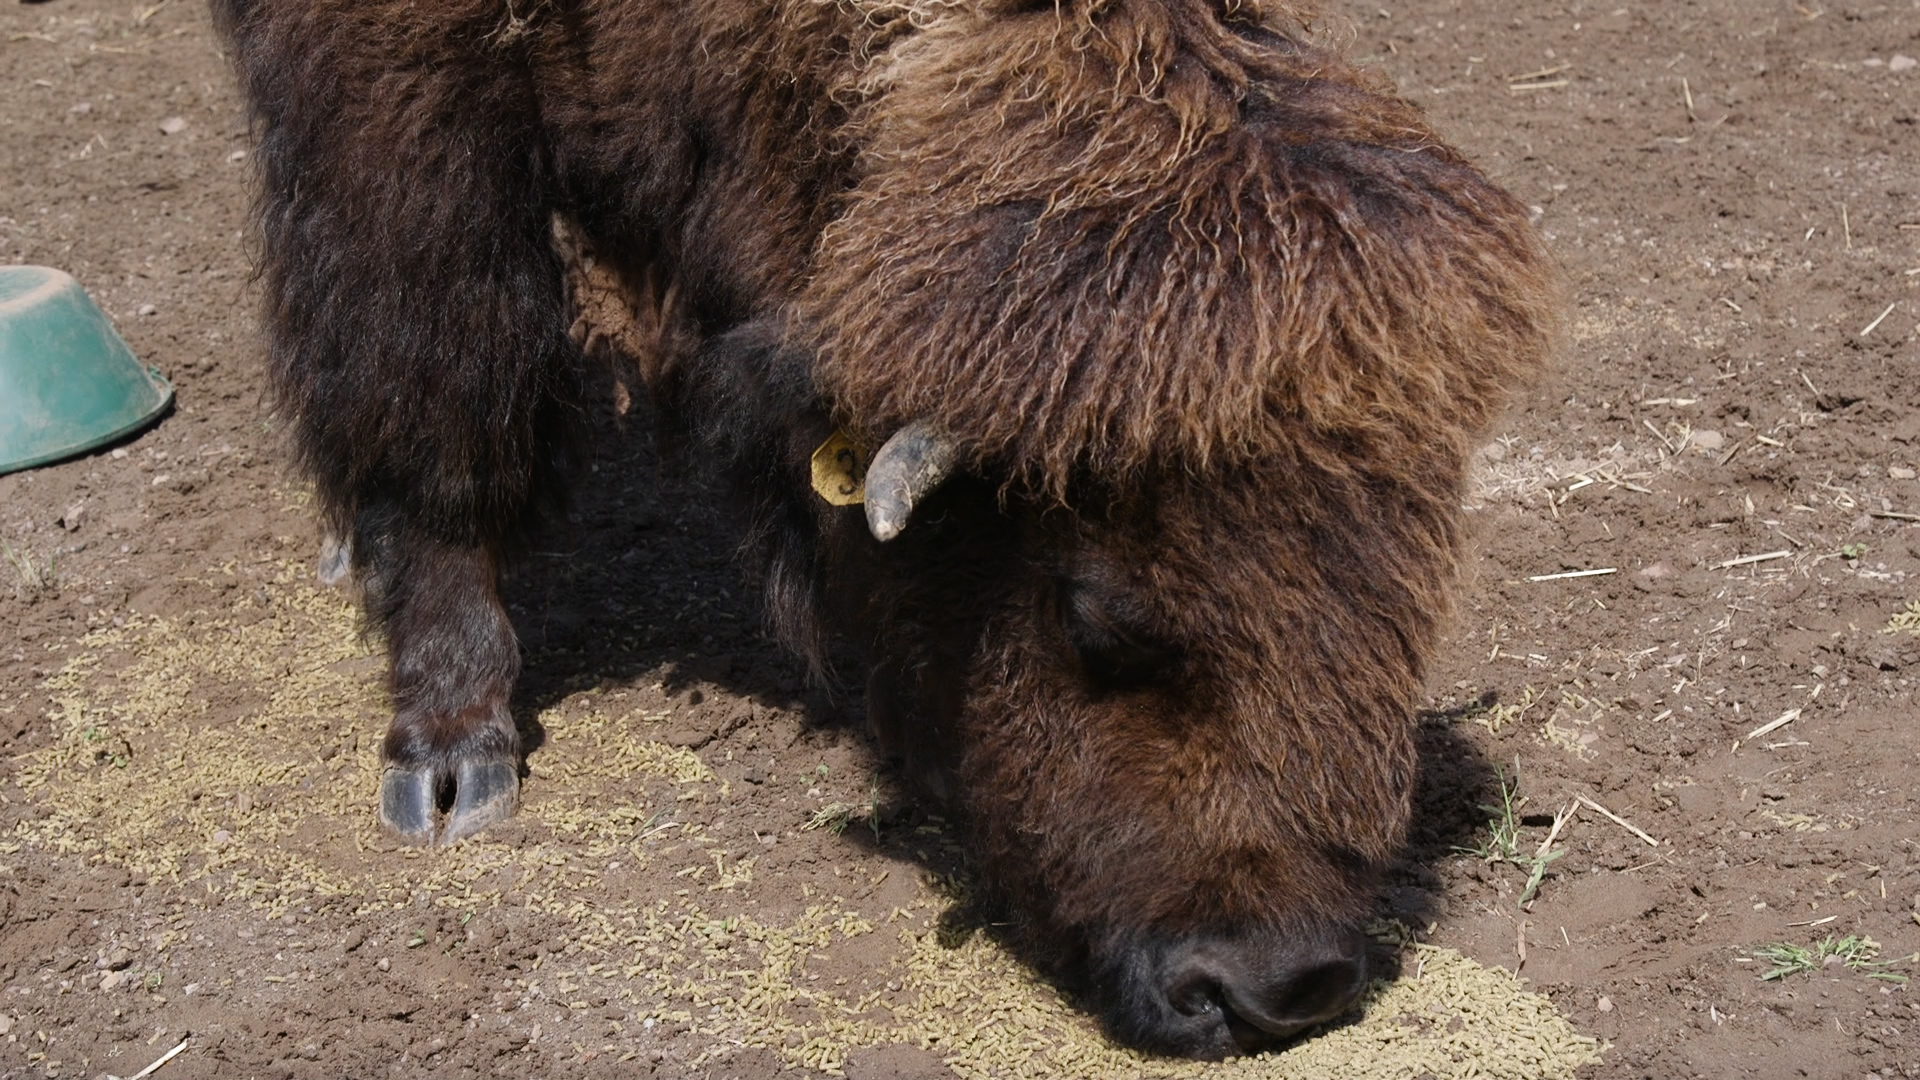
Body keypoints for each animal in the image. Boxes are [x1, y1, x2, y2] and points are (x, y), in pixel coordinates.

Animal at [212, 0, 1556, 1058]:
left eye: (1408, 613)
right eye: (1095, 617)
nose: (1283, 989)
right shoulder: (399, 84)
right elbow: (431, 357)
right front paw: (450, 761)